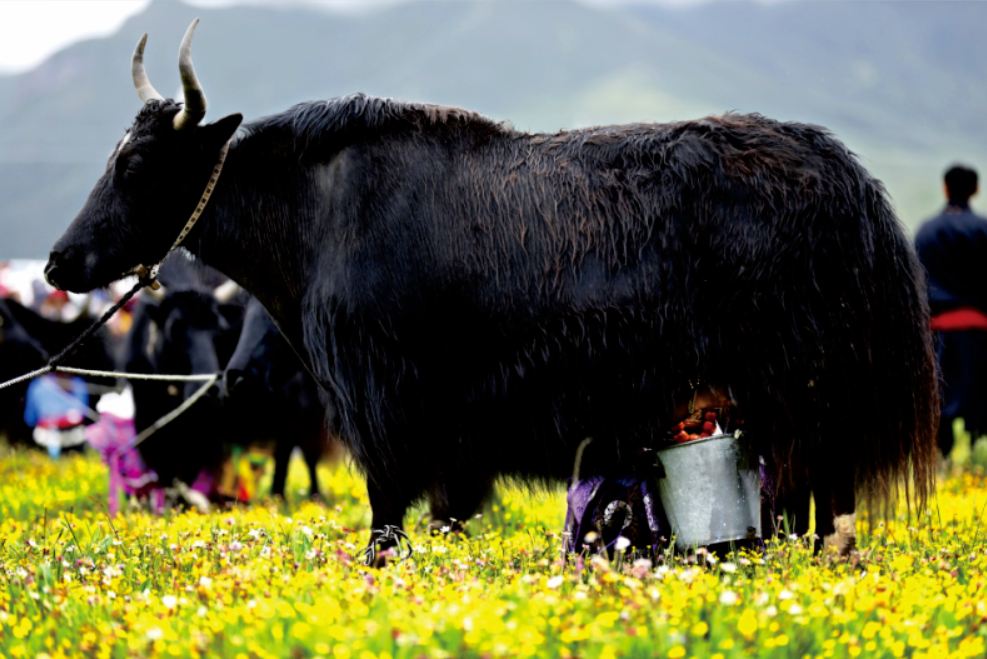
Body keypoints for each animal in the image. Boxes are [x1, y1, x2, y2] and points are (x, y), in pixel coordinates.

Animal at [45, 21, 938, 560]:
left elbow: (385, 526)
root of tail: (853, 182)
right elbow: (441, 522)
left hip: (798, 396)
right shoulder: (450, 443)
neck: (315, 212)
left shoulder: (388, 419)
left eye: (136, 163)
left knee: (811, 503)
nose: (58, 262)